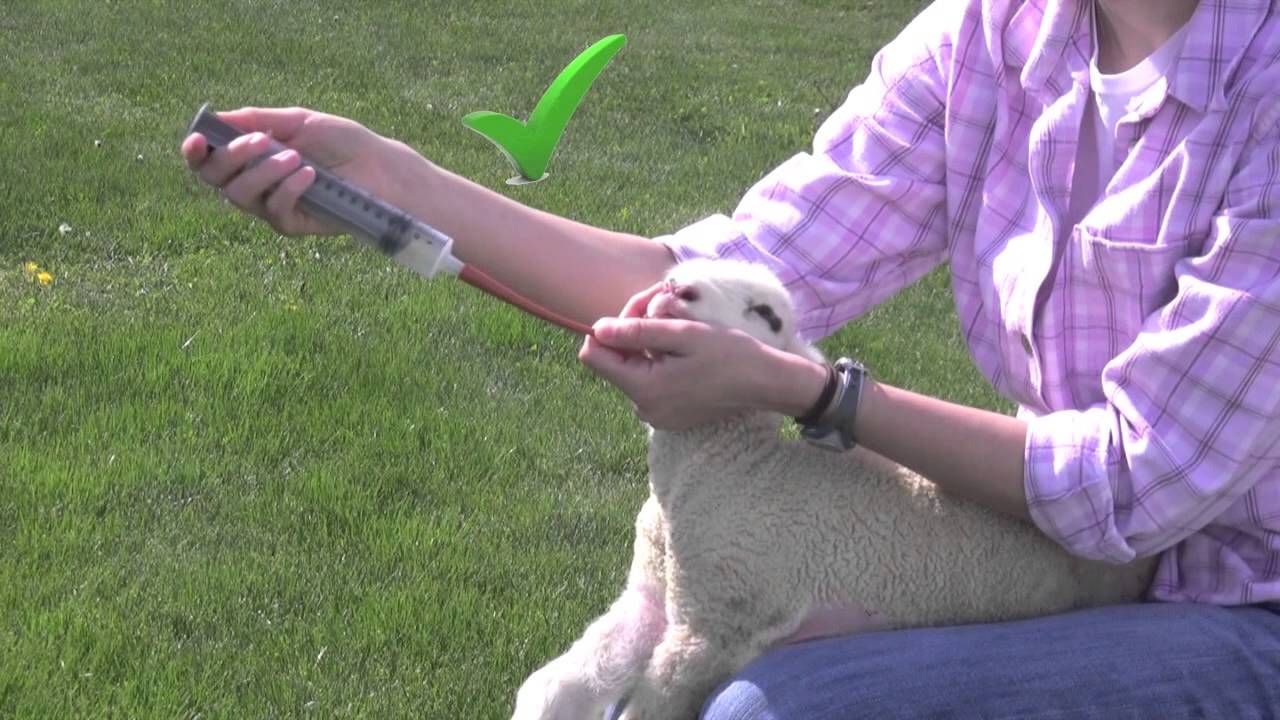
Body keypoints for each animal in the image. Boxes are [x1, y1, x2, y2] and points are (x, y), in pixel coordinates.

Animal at [512, 258, 1157, 720]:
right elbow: (559, 682)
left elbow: (647, 707)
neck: (731, 470)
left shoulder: (718, 622)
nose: (678, 289)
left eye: (768, 315)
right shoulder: (656, 593)